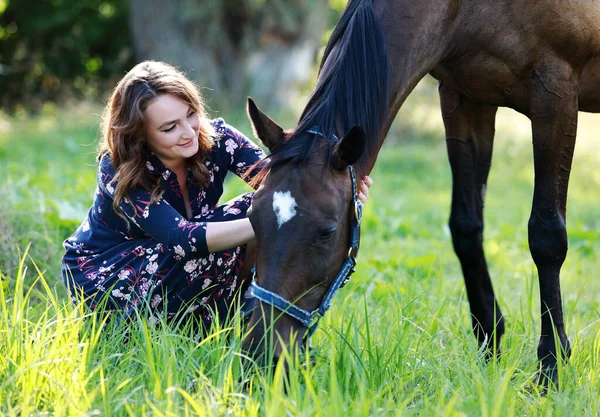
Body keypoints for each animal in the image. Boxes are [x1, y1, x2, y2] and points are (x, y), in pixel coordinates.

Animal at [240, 0, 600, 386]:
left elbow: (547, 236)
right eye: (253, 218)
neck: (467, 10)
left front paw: (550, 368)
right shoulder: (465, 98)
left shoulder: (555, 94)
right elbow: (465, 227)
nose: (260, 357)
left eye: (326, 232)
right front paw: (489, 349)